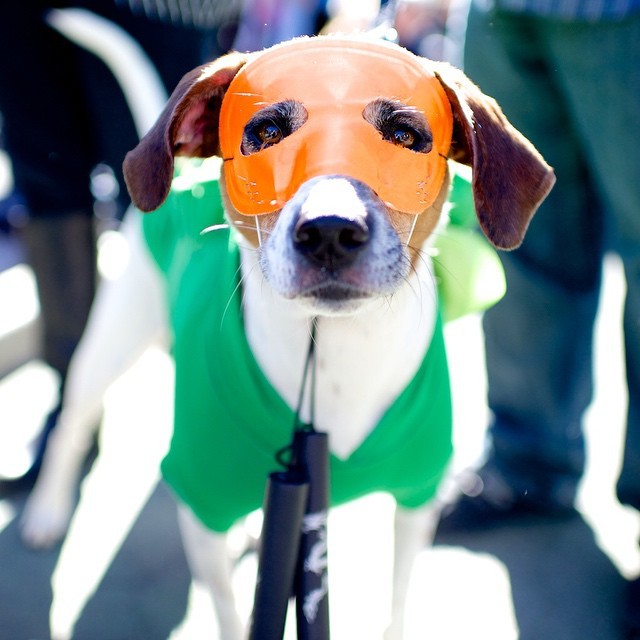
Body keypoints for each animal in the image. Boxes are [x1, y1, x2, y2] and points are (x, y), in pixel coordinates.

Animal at [21, 36, 552, 640]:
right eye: (269, 132)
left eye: (404, 138)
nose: (329, 230)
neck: (329, 355)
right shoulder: (201, 505)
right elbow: (234, 615)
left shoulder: (417, 502)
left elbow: (396, 604)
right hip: (107, 349)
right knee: (70, 426)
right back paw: (46, 510)